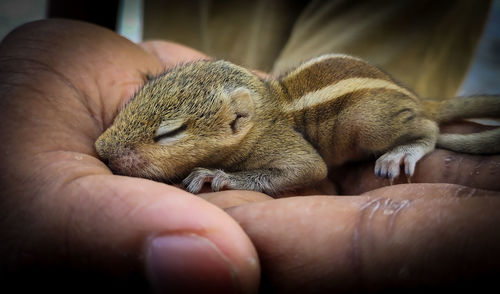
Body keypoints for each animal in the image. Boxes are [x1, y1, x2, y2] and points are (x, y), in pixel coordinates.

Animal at [94, 54, 500, 195]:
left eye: (170, 132)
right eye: (133, 101)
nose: (100, 151)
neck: (270, 107)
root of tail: (416, 98)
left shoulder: (286, 149)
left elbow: (310, 168)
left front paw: (216, 176)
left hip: (370, 122)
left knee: (429, 129)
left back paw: (402, 152)